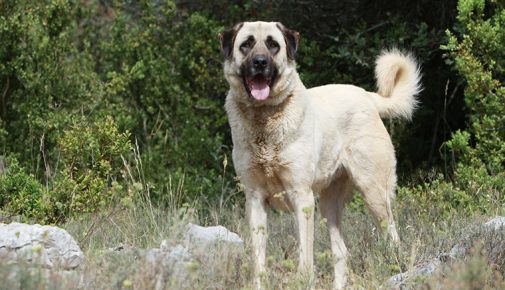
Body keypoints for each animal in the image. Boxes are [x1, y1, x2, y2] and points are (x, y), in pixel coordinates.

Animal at [219, 21, 420, 288]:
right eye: (246, 44)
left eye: (273, 44)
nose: (260, 62)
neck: (264, 120)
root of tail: (367, 96)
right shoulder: (255, 199)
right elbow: (258, 261)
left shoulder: (301, 197)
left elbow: (305, 258)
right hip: (328, 205)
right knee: (341, 252)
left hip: (374, 193)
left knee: (392, 237)